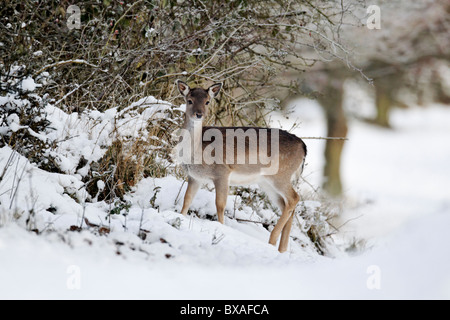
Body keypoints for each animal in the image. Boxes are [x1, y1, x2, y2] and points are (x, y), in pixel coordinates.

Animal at [175, 80, 306, 252]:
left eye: (207, 102)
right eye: (189, 100)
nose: (199, 114)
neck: (196, 153)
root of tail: (304, 147)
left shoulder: (222, 172)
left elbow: (220, 204)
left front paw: (221, 228)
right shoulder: (194, 177)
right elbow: (187, 199)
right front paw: (180, 217)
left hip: (280, 175)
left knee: (294, 198)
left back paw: (271, 241)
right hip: (267, 182)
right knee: (286, 205)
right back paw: (281, 249)